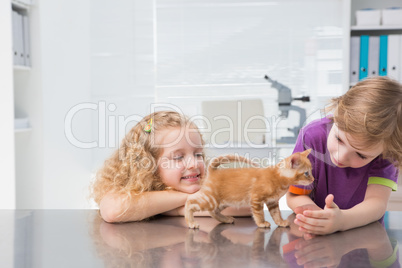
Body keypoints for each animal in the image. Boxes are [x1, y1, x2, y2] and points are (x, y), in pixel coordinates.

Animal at [185, 149, 314, 228]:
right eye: (306, 173)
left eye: (311, 171)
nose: (313, 179)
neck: (278, 177)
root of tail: (213, 172)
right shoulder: (256, 198)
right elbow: (258, 213)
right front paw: (262, 223)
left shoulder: (272, 202)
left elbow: (276, 213)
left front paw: (280, 222)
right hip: (211, 199)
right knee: (190, 202)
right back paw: (191, 222)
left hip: (224, 201)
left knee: (213, 211)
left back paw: (226, 219)